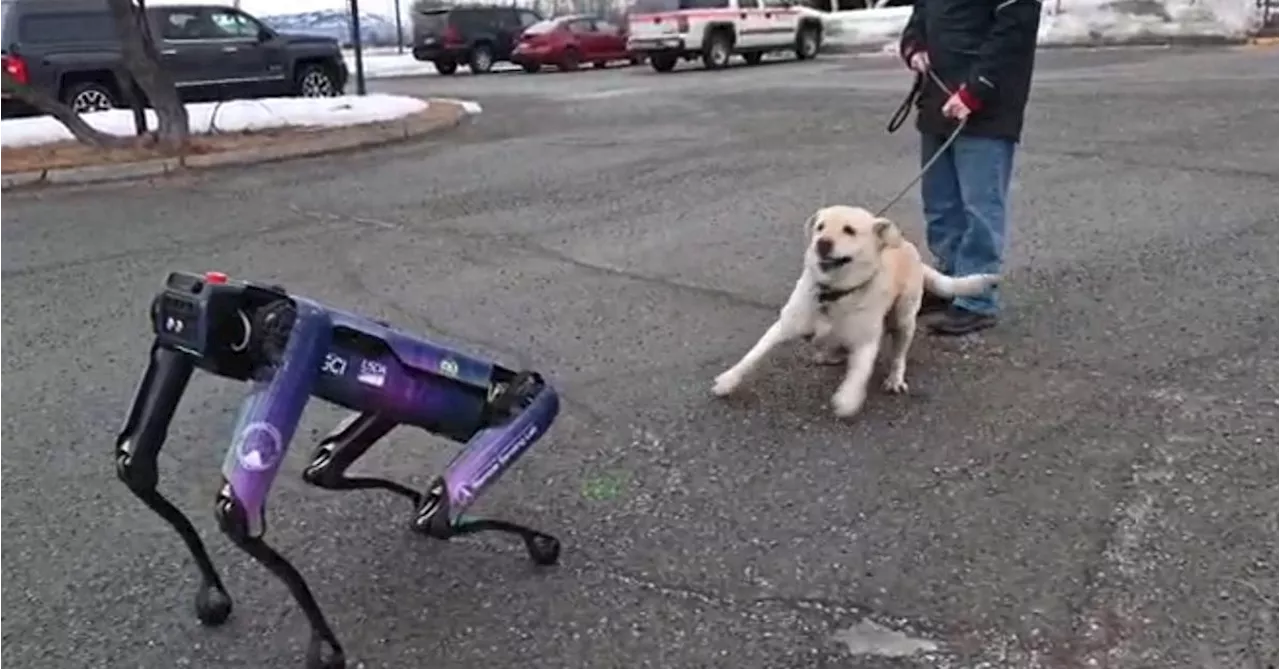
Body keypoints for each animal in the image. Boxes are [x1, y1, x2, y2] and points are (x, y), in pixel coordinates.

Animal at [113, 271, 560, 669]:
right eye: (171, 315)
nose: (176, 311)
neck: (251, 316)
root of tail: (522, 387)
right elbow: (135, 465)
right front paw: (215, 596)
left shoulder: (300, 333)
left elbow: (235, 512)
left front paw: (325, 647)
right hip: (390, 406)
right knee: (329, 469)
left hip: (520, 411)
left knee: (442, 514)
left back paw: (527, 536)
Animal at [711, 204, 998, 419]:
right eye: (820, 227)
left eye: (849, 230)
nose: (822, 243)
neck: (832, 293)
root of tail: (906, 246)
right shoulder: (783, 326)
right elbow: (752, 355)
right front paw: (728, 380)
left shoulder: (866, 342)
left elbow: (858, 374)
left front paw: (847, 399)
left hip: (904, 319)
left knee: (899, 355)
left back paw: (894, 377)